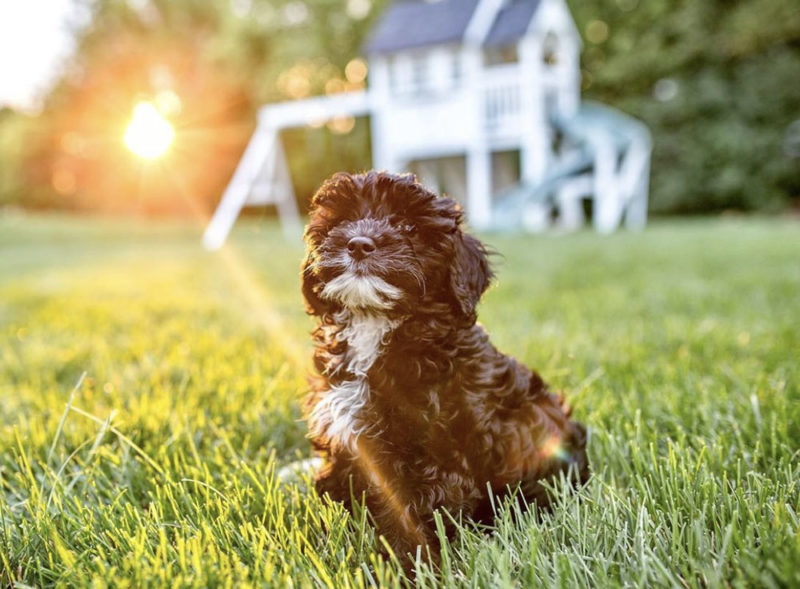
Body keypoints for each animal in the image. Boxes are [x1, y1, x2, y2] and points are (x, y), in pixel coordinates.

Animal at [300, 170, 588, 560]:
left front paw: (409, 564)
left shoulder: (432, 459)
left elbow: (419, 516)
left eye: (408, 225)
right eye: (342, 220)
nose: (359, 244)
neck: (377, 327)